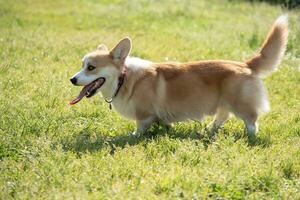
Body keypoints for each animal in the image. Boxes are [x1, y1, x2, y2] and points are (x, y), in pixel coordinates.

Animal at [69, 16, 288, 136]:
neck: (124, 78)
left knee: (251, 122)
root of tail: (246, 64)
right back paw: (209, 131)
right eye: (82, 65)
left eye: (91, 67)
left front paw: (132, 136)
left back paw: (249, 137)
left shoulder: (144, 115)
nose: (72, 79)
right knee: (223, 116)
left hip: (241, 104)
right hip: (224, 102)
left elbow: (140, 128)